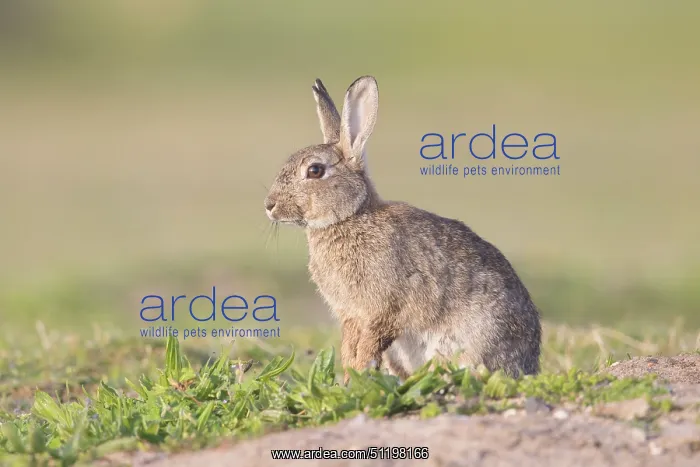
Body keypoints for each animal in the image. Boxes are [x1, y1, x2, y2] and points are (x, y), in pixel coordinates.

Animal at [264, 76, 542, 384]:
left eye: (315, 171)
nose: (269, 205)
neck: (350, 218)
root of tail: (528, 365)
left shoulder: (386, 308)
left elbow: (369, 345)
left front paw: (356, 377)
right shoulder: (351, 315)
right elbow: (350, 347)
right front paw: (348, 379)